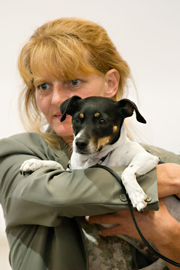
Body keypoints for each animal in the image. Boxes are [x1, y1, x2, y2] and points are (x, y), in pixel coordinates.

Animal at [20, 96, 160, 212]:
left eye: (102, 121)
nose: (79, 143)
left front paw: (136, 195)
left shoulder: (147, 157)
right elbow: (55, 164)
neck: (90, 160)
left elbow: (126, 172)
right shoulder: (69, 171)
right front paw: (34, 162)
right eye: (77, 119)